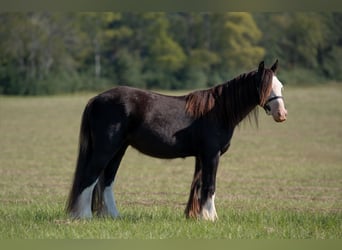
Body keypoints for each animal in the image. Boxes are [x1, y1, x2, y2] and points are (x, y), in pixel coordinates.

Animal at [65, 60, 288, 221]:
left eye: (280, 86)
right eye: (264, 87)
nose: (282, 114)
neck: (217, 112)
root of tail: (95, 99)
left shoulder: (201, 157)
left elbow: (198, 186)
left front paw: (196, 216)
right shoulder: (212, 155)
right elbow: (209, 185)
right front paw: (211, 218)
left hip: (119, 149)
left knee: (107, 180)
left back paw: (114, 216)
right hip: (106, 149)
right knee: (89, 176)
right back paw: (84, 216)